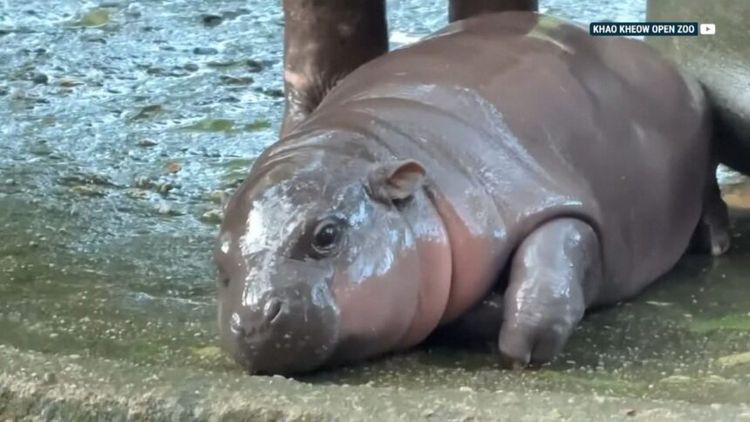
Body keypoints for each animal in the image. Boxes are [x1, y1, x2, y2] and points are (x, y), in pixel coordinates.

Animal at [213, 10, 740, 376]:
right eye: (220, 260)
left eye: (326, 234)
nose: (253, 319)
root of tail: (655, 57)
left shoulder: (539, 197)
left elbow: (549, 271)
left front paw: (521, 352)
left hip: (700, 157)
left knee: (709, 196)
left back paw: (714, 245)